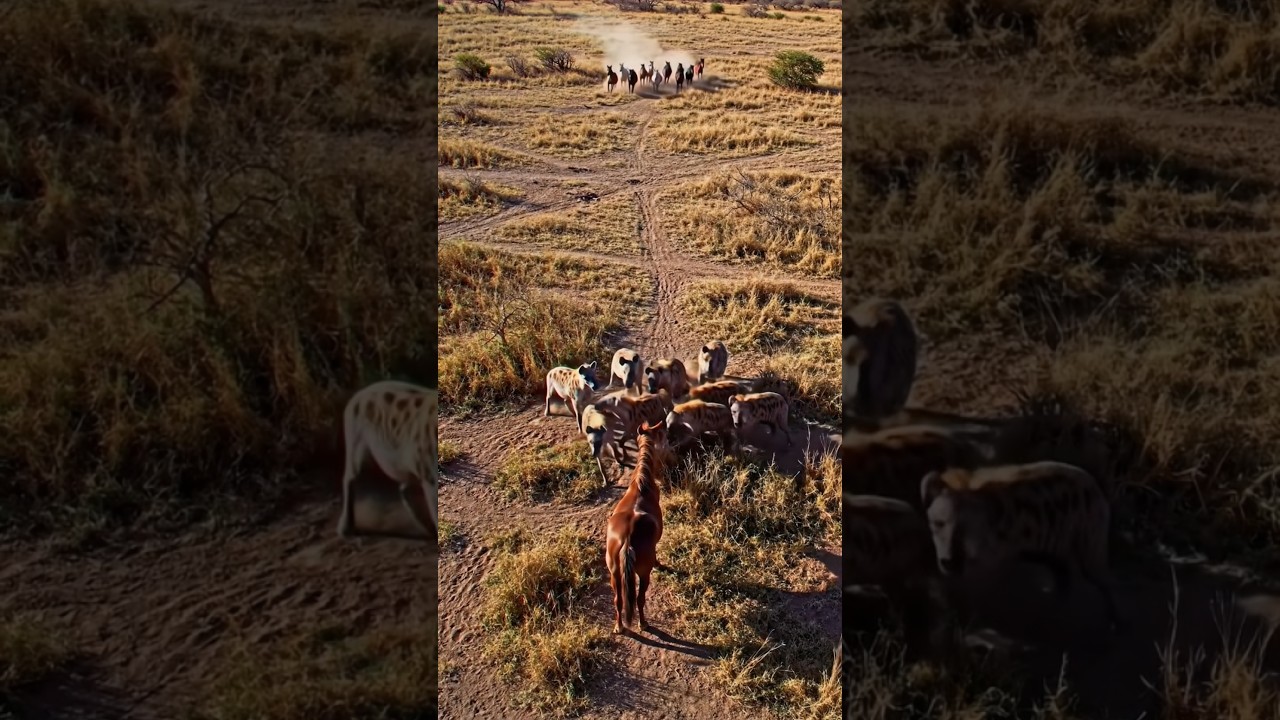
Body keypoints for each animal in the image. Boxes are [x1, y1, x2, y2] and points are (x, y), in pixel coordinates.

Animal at [605, 421, 669, 635]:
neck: (642, 484)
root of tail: (626, 540)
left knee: (618, 600)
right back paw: (643, 623)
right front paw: (660, 563)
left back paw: (619, 627)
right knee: (640, 599)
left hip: (615, 572)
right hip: (642, 573)